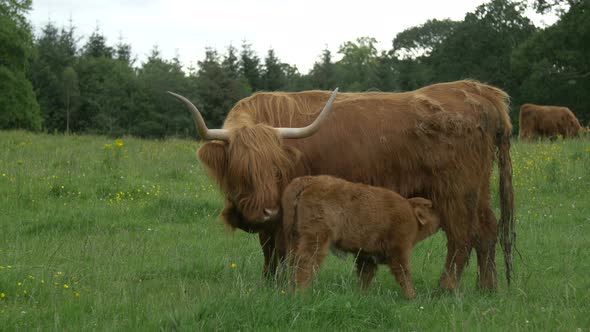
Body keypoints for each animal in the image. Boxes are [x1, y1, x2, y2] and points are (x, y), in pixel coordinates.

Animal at [282, 175, 444, 300]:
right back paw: (301, 294)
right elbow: (403, 273)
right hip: (316, 239)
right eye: (431, 207)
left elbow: (365, 276)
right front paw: (412, 297)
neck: (410, 212)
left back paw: (290, 292)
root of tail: (308, 180)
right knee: (305, 262)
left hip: (295, 237)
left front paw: (361, 296)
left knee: (292, 261)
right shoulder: (399, 250)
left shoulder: (366, 255)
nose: (441, 216)